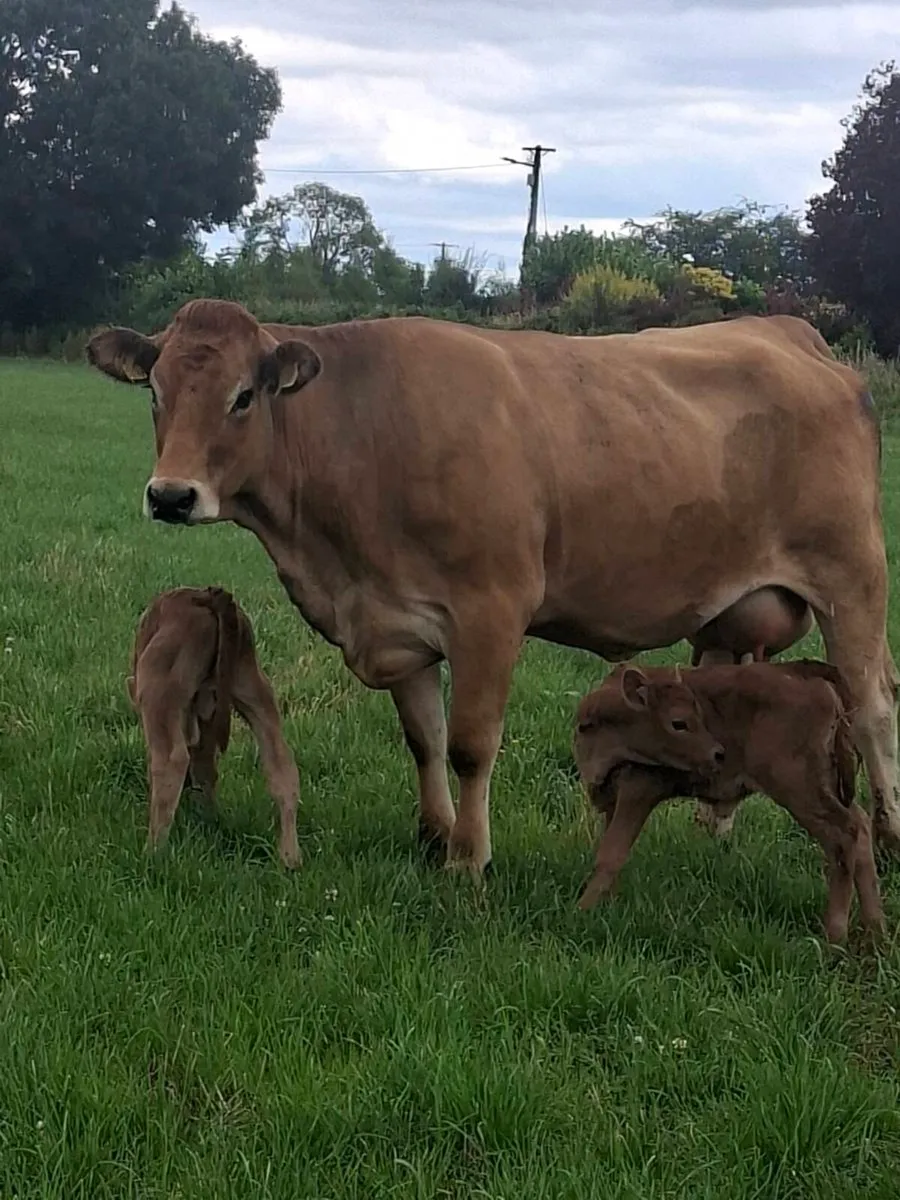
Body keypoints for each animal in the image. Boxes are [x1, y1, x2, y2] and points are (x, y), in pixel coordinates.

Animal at [127, 585, 301, 867]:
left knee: (171, 761)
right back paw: (290, 858)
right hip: (252, 688)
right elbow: (207, 769)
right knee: (281, 763)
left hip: (157, 691)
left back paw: (151, 853)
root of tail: (207, 596)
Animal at [572, 661, 885, 944]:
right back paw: (875, 929)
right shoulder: (611, 799)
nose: (718, 753)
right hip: (827, 785)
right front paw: (606, 904)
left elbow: (611, 854)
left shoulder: (638, 790)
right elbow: (610, 849)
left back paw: (835, 936)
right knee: (861, 827)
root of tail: (806, 672)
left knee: (843, 835)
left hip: (799, 790)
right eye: (679, 723)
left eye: (698, 715)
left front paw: (582, 910)